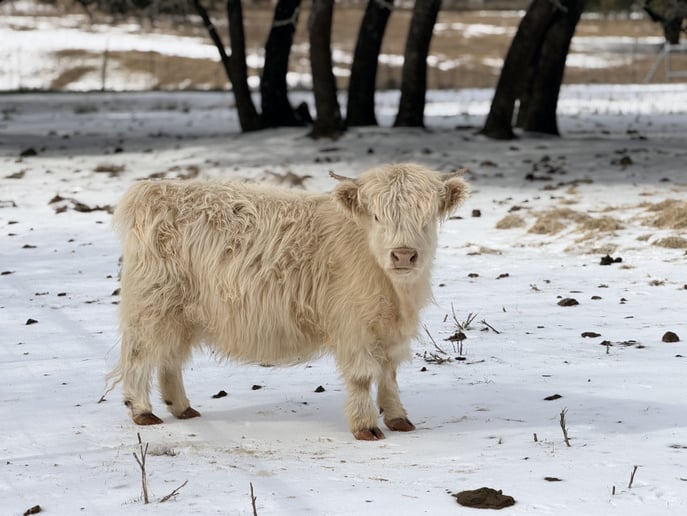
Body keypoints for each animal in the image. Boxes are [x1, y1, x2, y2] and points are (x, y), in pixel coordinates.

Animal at [107, 163, 469, 440]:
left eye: (426, 218)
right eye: (378, 216)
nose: (404, 255)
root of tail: (155, 191)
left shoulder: (389, 330)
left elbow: (389, 374)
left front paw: (398, 418)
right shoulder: (354, 327)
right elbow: (363, 376)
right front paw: (366, 427)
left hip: (181, 314)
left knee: (170, 359)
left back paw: (183, 408)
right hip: (153, 305)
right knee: (140, 355)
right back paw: (142, 411)